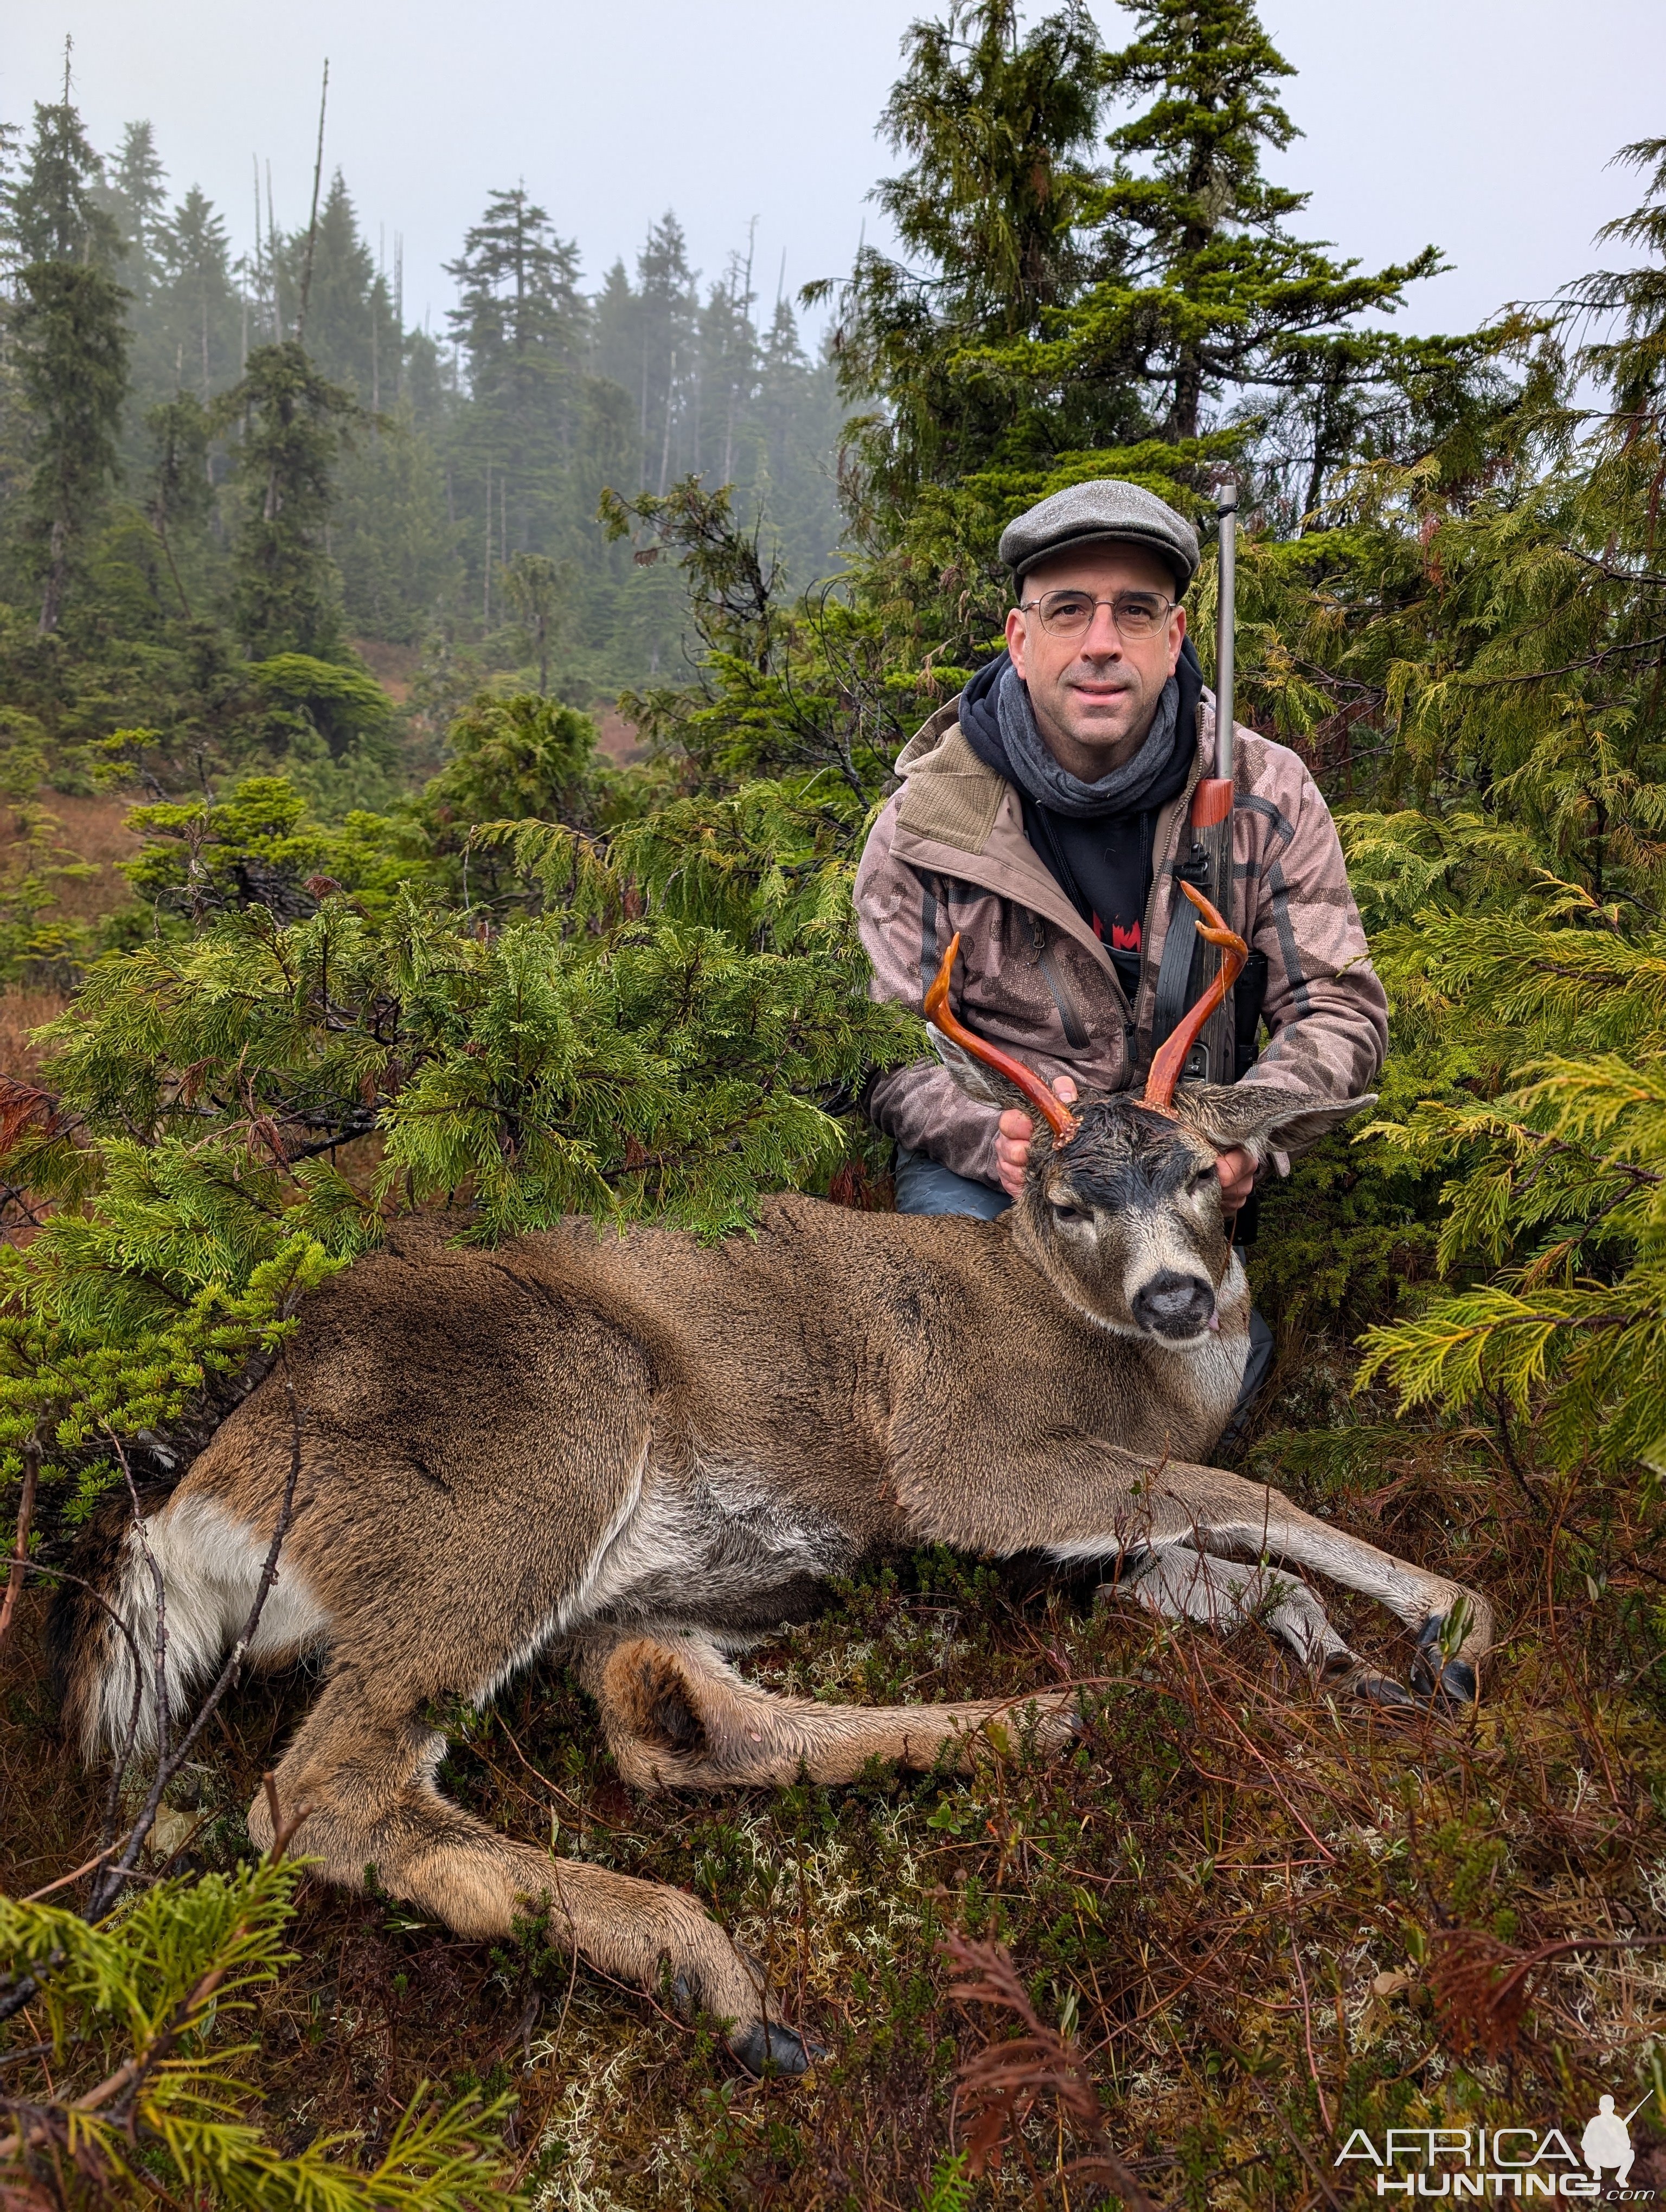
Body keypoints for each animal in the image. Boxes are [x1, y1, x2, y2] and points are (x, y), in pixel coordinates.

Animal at [52, 885, 1486, 2070]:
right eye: (1068, 1201)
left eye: (1198, 1171)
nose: (1179, 1295)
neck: (1098, 1349)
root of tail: (206, 1491)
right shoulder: (961, 1454)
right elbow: (1248, 1501)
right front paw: (1449, 1622)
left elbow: (1216, 1567)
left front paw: (1344, 1653)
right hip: (529, 1458)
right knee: (324, 1791)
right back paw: (713, 1965)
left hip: (644, 1579)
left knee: (678, 1723)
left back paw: (1048, 1720)